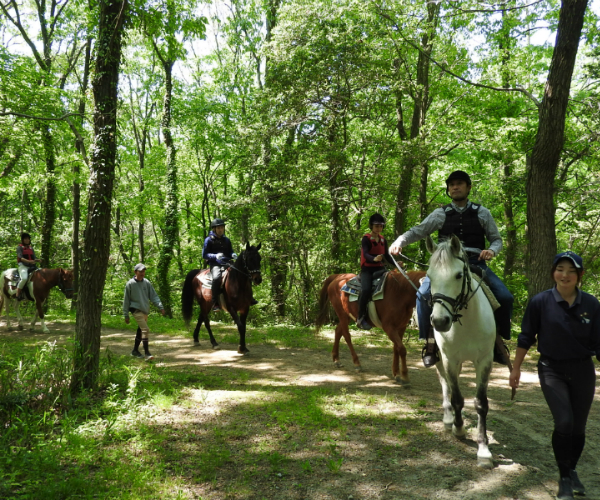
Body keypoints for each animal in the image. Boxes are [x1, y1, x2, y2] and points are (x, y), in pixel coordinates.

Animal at [426, 234, 496, 468]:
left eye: (458, 275)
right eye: (429, 276)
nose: (440, 321)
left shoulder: (484, 361)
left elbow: (481, 403)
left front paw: (483, 449)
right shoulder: (450, 359)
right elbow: (456, 396)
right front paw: (458, 428)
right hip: (440, 358)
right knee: (444, 383)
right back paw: (449, 418)